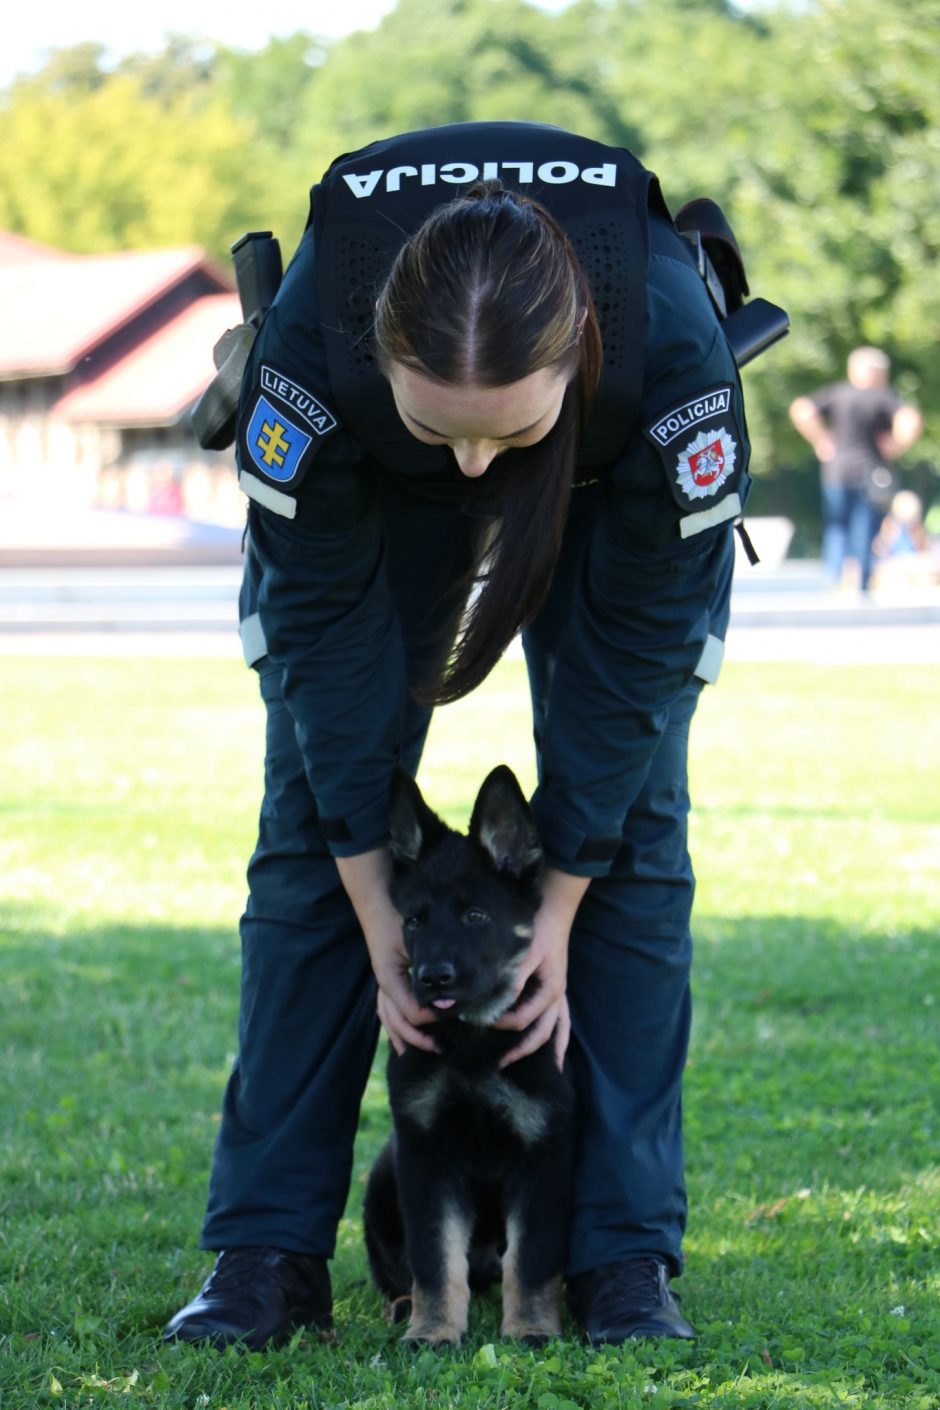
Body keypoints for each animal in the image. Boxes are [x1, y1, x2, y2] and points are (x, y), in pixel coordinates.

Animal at [366, 767, 574, 1347]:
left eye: (476, 915)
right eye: (414, 920)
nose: (433, 978)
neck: (471, 1042)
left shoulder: (543, 1156)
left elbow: (532, 1259)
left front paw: (530, 1328)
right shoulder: (424, 1156)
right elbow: (434, 1257)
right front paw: (434, 1330)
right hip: (381, 1176)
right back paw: (403, 1307)